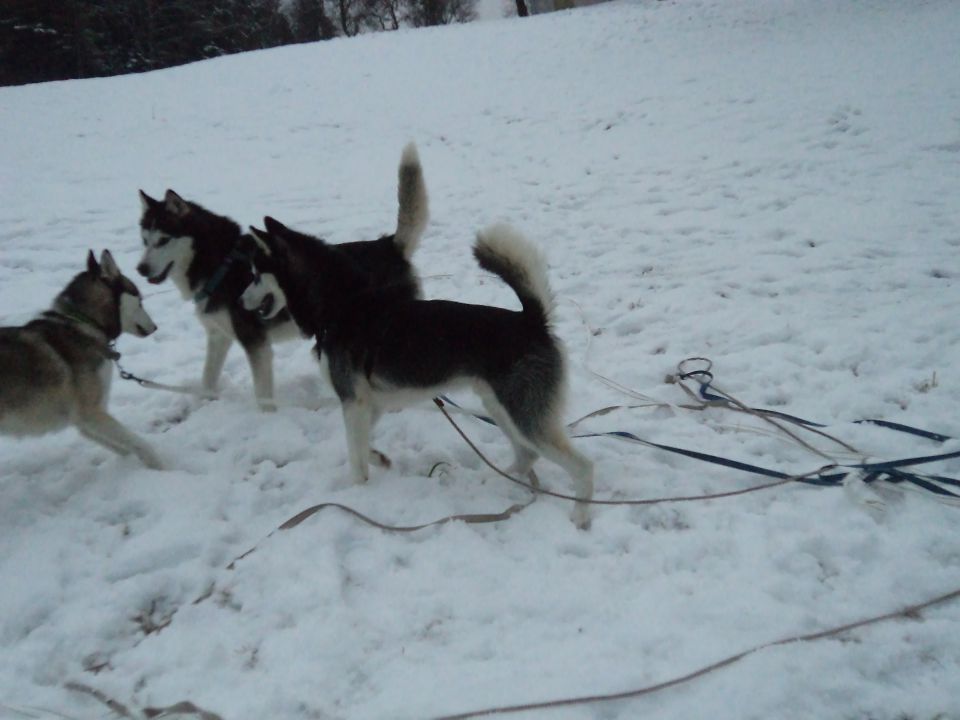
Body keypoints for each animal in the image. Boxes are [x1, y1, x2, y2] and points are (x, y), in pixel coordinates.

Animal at [0, 250, 163, 470]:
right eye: (140, 301)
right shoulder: (92, 413)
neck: (84, 323)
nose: (155, 327)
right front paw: (165, 466)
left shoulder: (84, 420)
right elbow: (139, 443)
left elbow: (123, 447)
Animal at [135, 143, 428, 410]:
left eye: (163, 240)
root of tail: (389, 244)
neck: (219, 265)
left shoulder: (256, 345)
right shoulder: (218, 336)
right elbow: (207, 380)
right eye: (145, 240)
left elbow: (263, 397)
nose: (140, 269)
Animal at [242, 219, 592, 528]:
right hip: (501, 408)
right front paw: (379, 459)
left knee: (582, 465)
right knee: (526, 455)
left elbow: (355, 457)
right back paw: (490, 480)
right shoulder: (369, 404)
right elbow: (364, 445)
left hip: (524, 416)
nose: (241, 300)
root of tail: (532, 321)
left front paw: (355, 495)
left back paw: (580, 515)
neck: (341, 306)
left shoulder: (352, 402)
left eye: (256, 275)